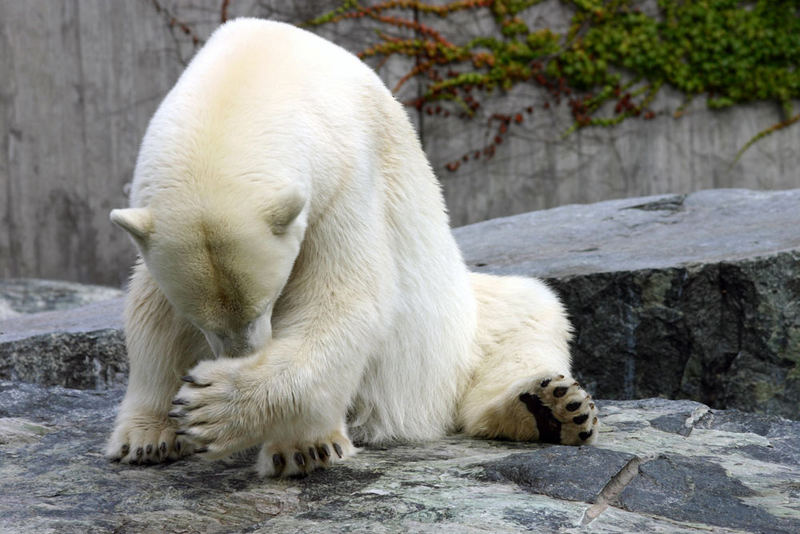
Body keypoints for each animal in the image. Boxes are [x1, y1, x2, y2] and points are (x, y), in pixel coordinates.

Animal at [104, 18, 592, 480]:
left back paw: (547, 406)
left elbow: (345, 301)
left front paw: (227, 413)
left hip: (460, 333)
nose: (244, 357)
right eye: (202, 320)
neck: (255, 68)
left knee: (532, 312)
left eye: (265, 305)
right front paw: (146, 438)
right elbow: (152, 313)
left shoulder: (343, 178)